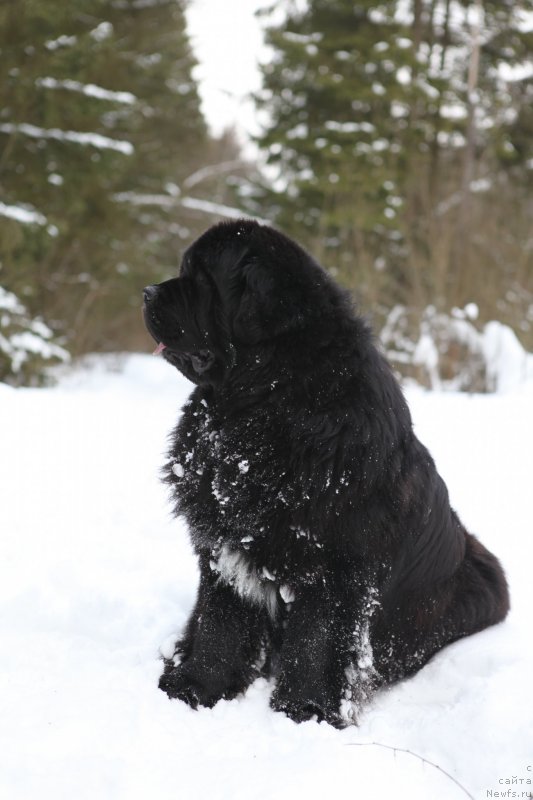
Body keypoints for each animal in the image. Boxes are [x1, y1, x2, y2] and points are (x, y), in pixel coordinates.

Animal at [143, 217, 510, 724]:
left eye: (201, 280)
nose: (146, 292)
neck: (267, 403)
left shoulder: (334, 562)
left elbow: (316, 643)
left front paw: (303, 712)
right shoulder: (226, 547)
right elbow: (221, 626)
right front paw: (195, 689)